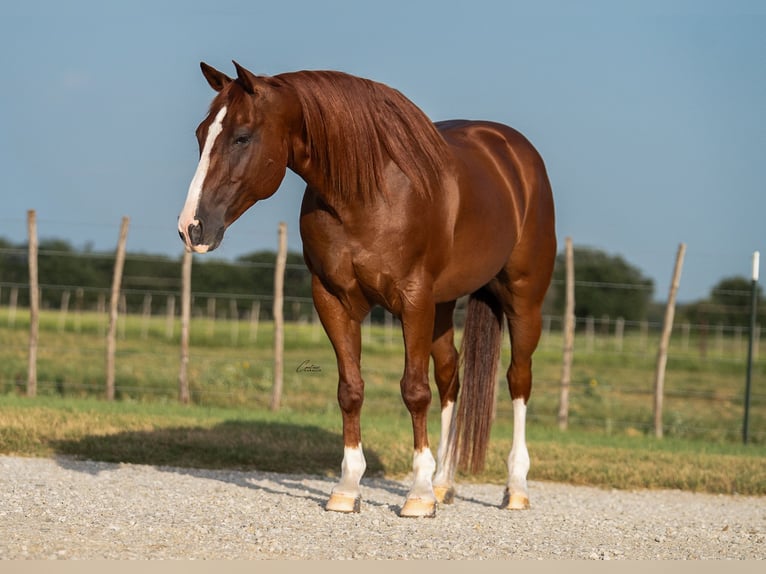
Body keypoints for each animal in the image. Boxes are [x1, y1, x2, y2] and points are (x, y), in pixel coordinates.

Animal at [177, 61, 556, 518]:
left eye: (242, 136)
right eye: (200, 134)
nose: (192, 228)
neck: (368, 193)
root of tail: (514, 153)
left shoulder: (413, 299)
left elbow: (414, 391)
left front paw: (418, 495)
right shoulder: (334, 299)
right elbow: (351, 389)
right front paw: (348, 488)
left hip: (523, 299)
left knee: (518, 379)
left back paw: (514, 488)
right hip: (444, 305)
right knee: (451, 379)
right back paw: (444, 483)